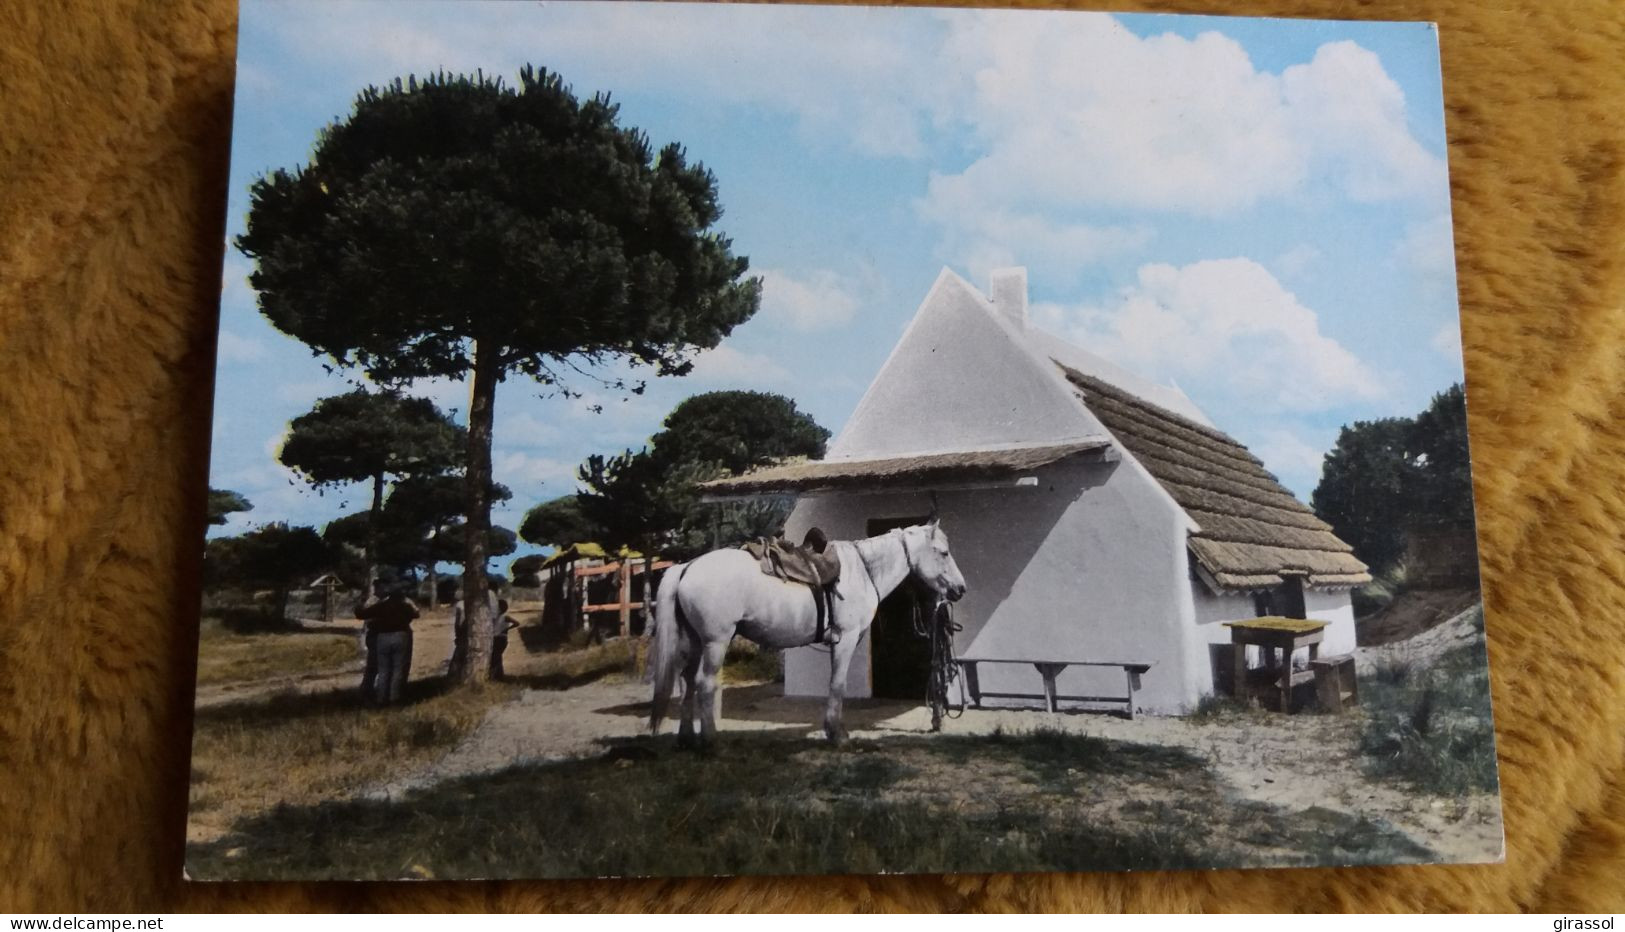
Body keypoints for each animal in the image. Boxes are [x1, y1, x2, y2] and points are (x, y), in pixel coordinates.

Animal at [646, 522, 962, 750]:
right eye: (943, 553)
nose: (960, 589)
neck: (863, 571)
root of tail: (687, 567)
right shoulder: (846, 639)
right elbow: (838, 684)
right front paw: (837, 735)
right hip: (716, 641)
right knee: (704, 683)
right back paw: (710, 741)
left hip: (694, 641)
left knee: (686, 681)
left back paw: (686, 739)